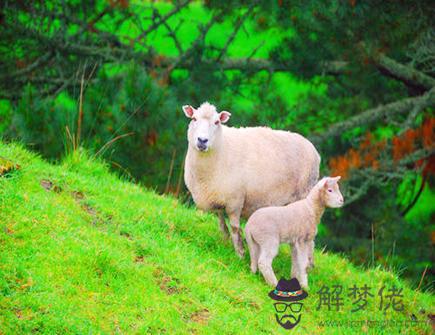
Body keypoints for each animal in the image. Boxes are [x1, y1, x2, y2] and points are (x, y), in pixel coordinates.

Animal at [182, 101, 322, 258]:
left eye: (217, 122)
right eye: (194, 118)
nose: (202, 140)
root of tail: (314, 150)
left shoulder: (235, 201)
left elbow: (235, 227)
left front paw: (240, 253)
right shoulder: (216, 196)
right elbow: (221, 222)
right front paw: (224, 240)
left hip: (305, 194)